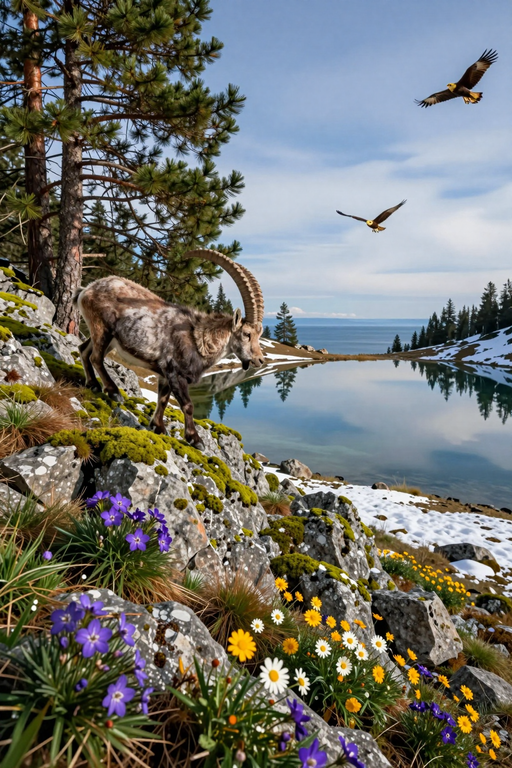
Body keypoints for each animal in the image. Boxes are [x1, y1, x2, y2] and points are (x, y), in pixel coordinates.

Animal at [74, 249, 265, 447]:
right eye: (247, 334)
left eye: (260, 333)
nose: (260, 360)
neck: (199, 340)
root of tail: (86, 290)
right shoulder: (175, 373)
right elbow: (188, 405)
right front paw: (195, 439)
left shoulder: (164, 374)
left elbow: (163, 400)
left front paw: (158, 427)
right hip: (102, 328)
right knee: (96, 357)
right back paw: (113, 392)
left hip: (108, 338)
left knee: (84, 350)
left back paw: (93, 384)